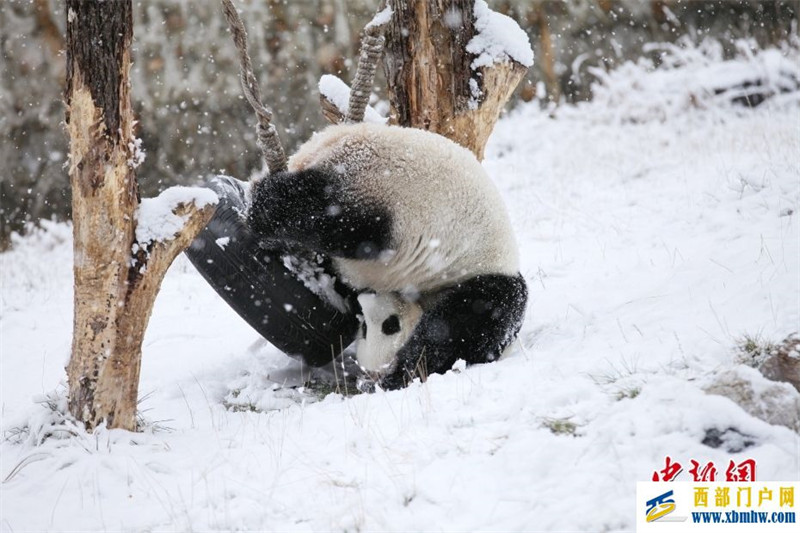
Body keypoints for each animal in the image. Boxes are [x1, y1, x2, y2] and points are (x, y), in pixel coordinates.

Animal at [247, 122, 528, 388]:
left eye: (388, 326)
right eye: (368, 327)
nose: (366, 297)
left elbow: (453, 331)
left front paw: (398, 375)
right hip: (379, 182)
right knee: (329, 209)